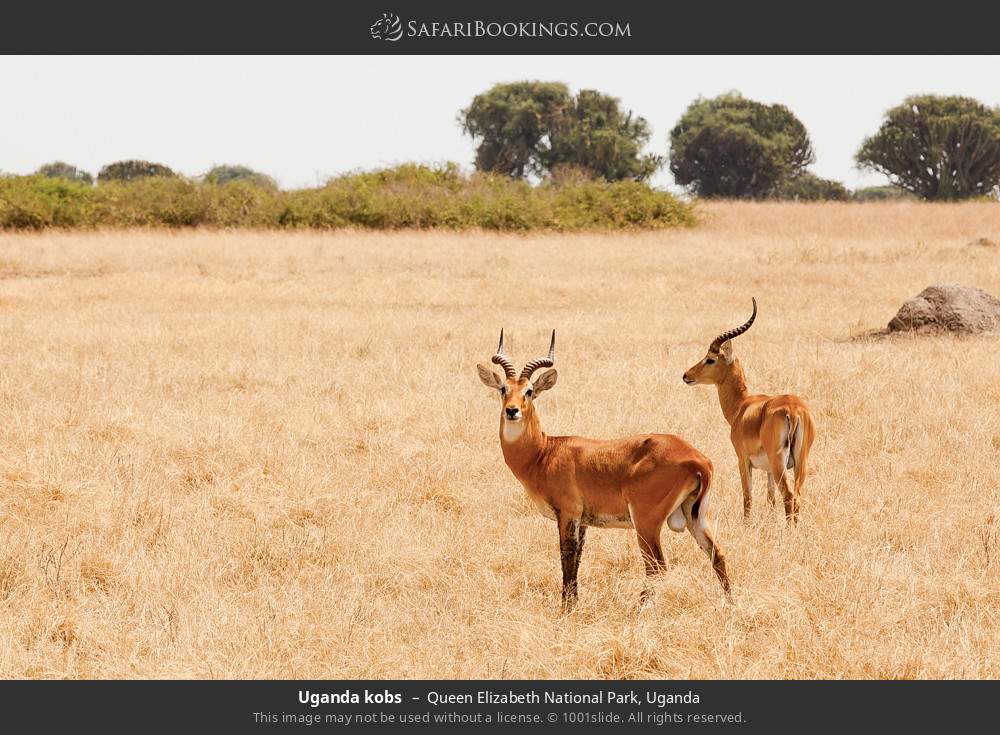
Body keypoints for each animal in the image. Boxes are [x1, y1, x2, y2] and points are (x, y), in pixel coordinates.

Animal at [476, 330, 728, 612]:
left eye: (529, 391)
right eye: (503, 389)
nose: (512, 411)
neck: (545, 451)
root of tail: (698, 459)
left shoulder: (568, 514)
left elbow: (566, 558)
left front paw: (566, 610)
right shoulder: (583, 521)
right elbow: (577, 561)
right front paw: (573, 604)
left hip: (646, 523)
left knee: (658, 567)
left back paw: (637, 610)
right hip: (695, 517)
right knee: (717, 555)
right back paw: (728, 603)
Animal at [684, 302, 816, 528]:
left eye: (710, 359)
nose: (686, 375)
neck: (742, 406)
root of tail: (793, 410)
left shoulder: (743, 460)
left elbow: (748, 495)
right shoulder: (769, 470)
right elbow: (770, 498)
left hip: (779, 461)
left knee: (789, 494)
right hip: (799, 461)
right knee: (797, 495)